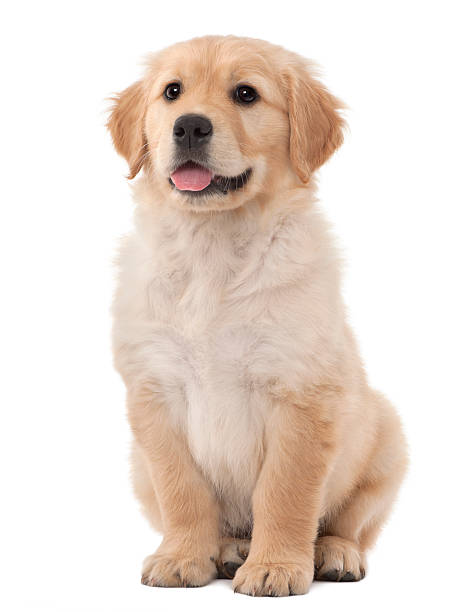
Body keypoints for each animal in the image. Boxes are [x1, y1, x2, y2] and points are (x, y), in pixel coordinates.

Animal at [107, 34, 408, 596]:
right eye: (172, 92)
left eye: (246, 94)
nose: (190, 126)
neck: (213, 249)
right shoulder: (155, 393)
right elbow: (182, 490)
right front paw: (182, 557)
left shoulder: (299, 392)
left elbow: (285, 492)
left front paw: (276, 567)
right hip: (137, 468)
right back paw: (228, 549)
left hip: (386, 439)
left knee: (350, 523)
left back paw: (332, 554)